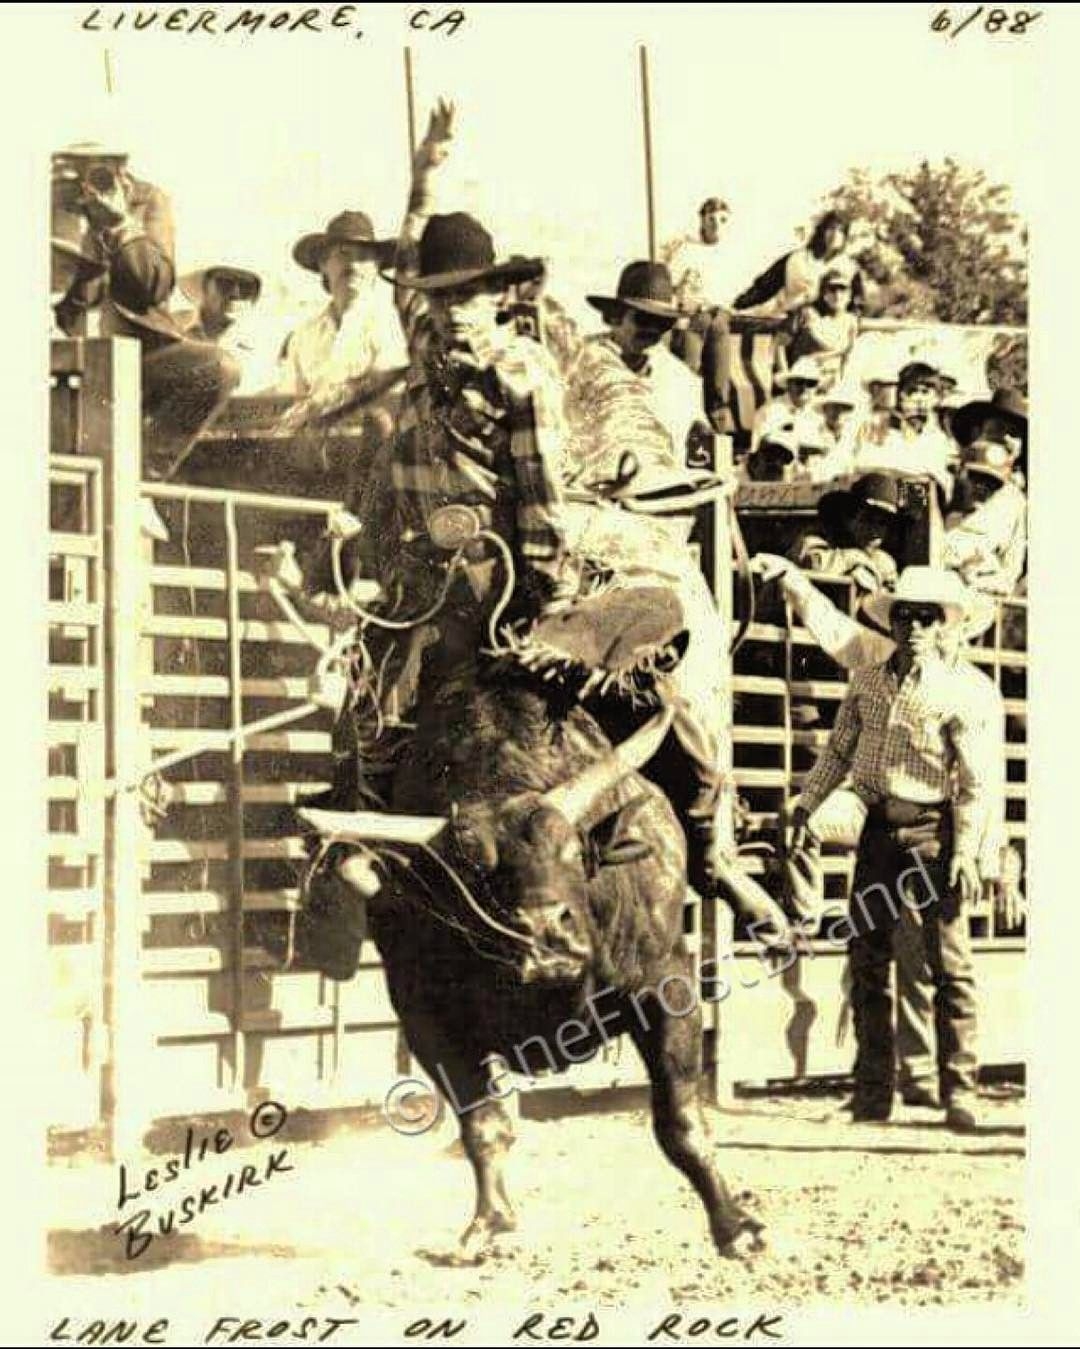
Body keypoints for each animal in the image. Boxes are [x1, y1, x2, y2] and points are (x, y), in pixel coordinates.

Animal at [295, 596, 782, 1257]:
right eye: (470, 873)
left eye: (575, 852)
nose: (545, 939)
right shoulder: (427, 1020)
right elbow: (484, 1125)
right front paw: (490, 1224)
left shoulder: (667, 985)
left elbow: (680, 1122)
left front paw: (736, 1227)